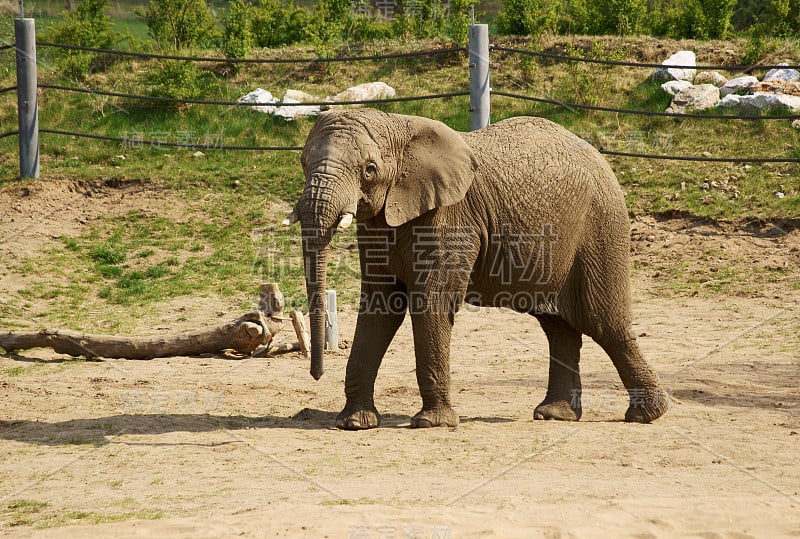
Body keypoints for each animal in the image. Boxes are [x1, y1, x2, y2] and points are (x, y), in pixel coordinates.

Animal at [288, 107, 668, 432]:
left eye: (369, 169)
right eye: (303, 163)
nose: (316, 374)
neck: (398, 124)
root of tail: (602, 159)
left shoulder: (449, 217)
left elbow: (430, 303)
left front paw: (431, 424)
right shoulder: (379, 222)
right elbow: (380, 306)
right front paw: (353, 423)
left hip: (601, 225)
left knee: (603, 322)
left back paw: (647, 415)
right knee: (558, 327)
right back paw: (554, 415)